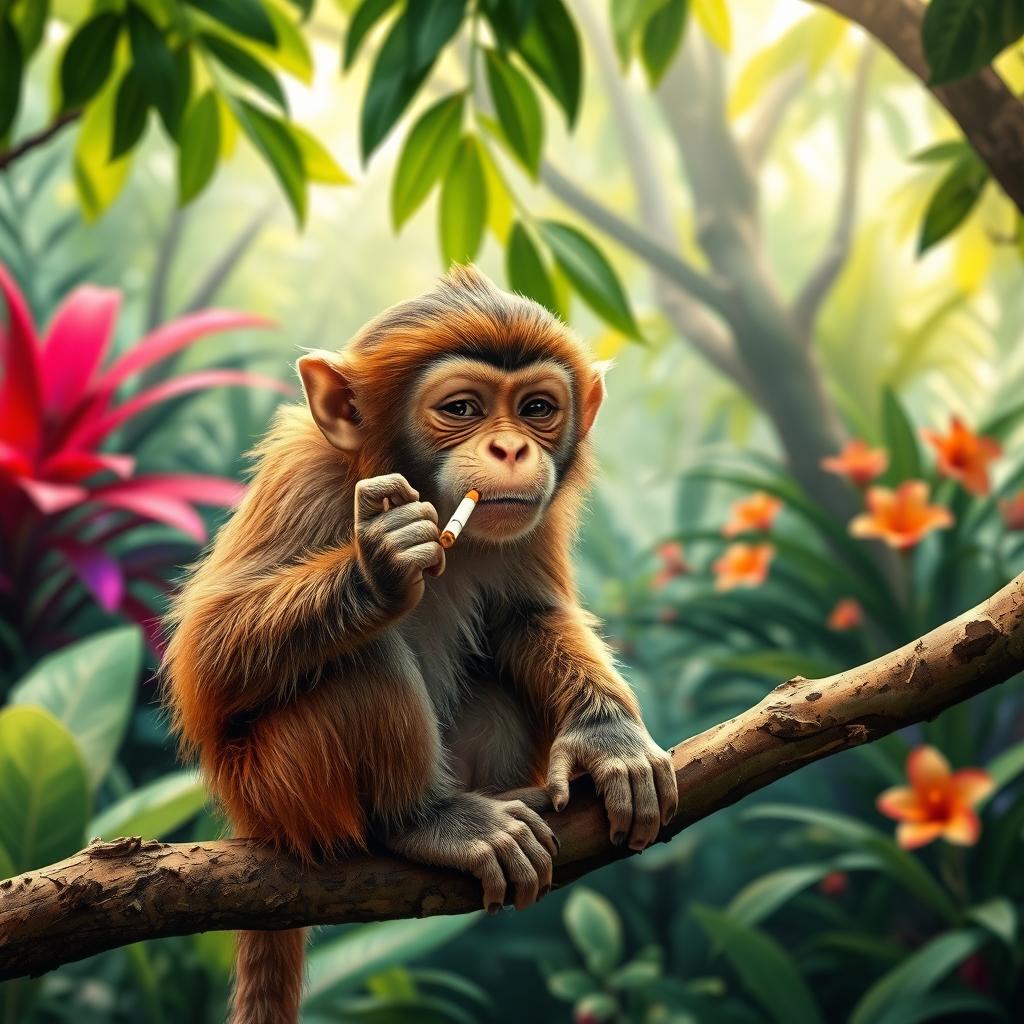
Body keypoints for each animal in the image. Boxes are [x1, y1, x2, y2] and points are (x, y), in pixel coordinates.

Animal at [162, 267, 677, 1024]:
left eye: (537, 408)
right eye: (462, 408)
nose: (511, 450)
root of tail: (251, 819)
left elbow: (527, 616)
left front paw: (605, 736)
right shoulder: (304, 477)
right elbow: (209, 655)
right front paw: (377, 568)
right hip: (278, 784)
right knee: (361, 656)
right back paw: (424, 820)